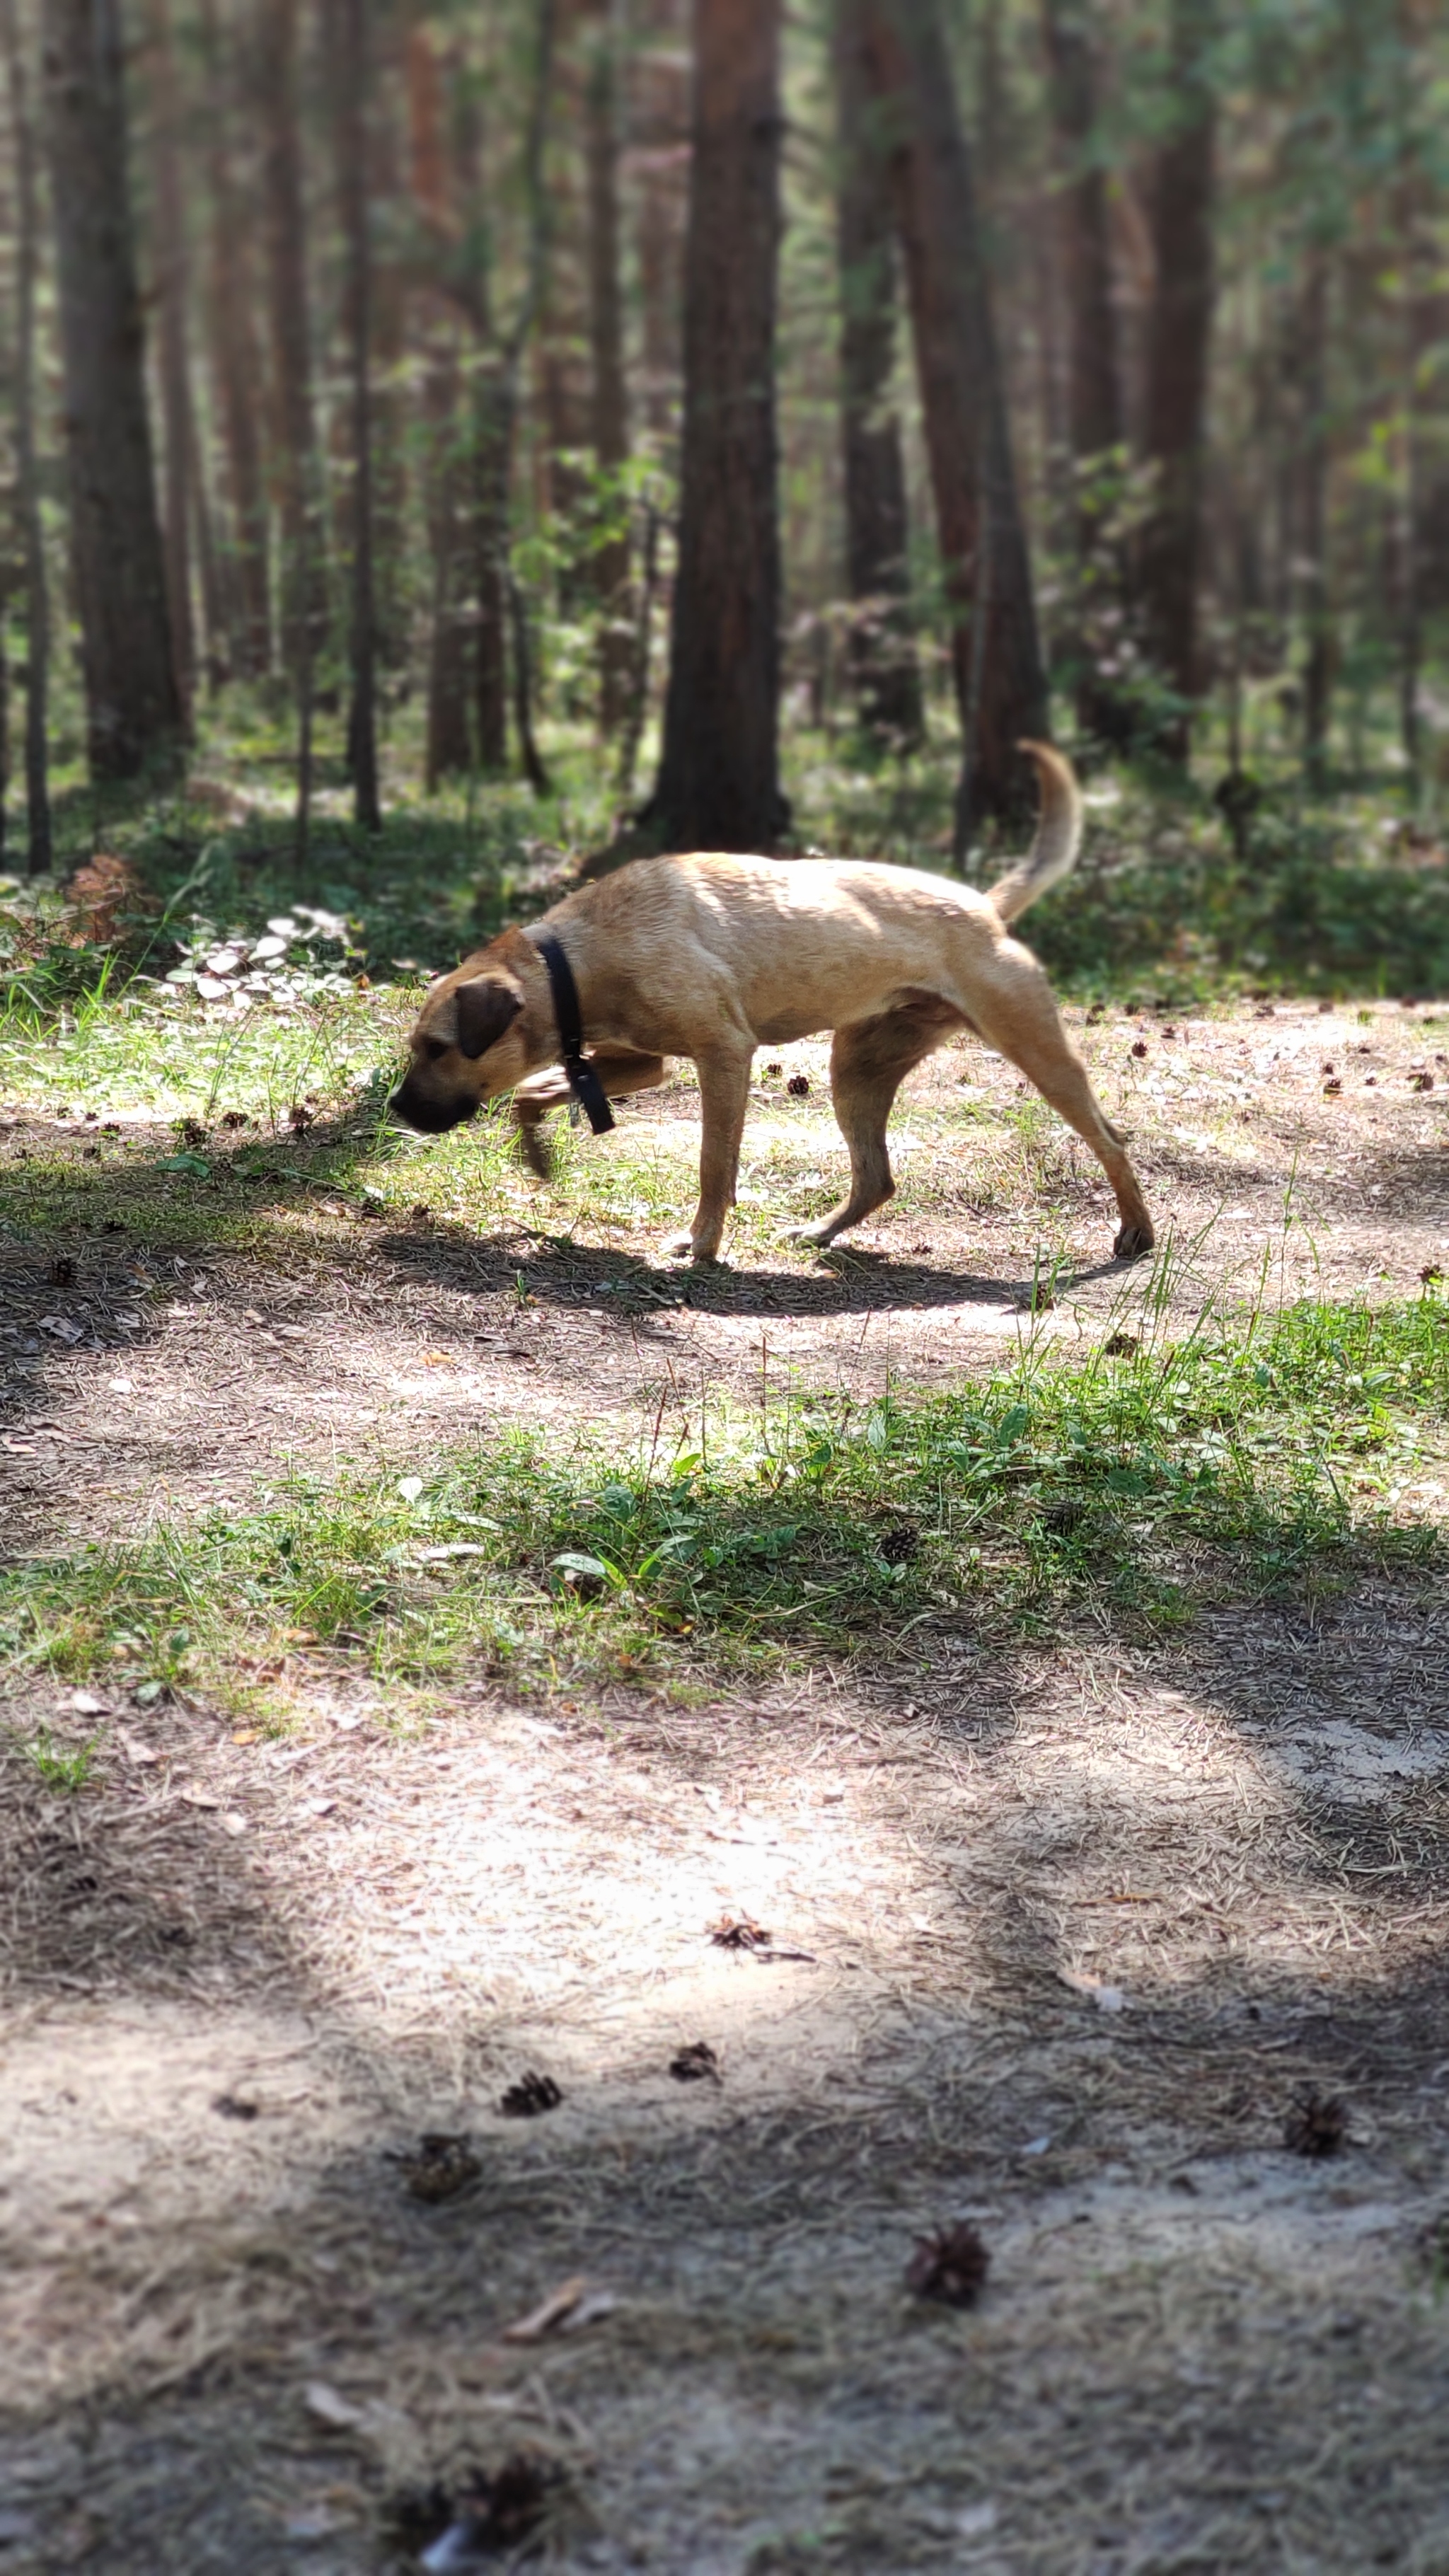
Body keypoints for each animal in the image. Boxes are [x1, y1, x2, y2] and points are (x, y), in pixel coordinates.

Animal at [391, 746, 1150, 1267]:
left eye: (438, 1048)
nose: (395, 1108)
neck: (573, 963)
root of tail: (986, 909)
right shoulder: (639, 1063)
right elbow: (536, 1092)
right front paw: (541, 1157)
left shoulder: (723, 1055)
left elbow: (713, 1166)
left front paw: (701, 1244)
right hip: (857, 1072)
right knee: (876, 1179)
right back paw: (819, 1232)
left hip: (1039, 1054)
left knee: (1112, 1140)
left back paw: (1135, 1233)